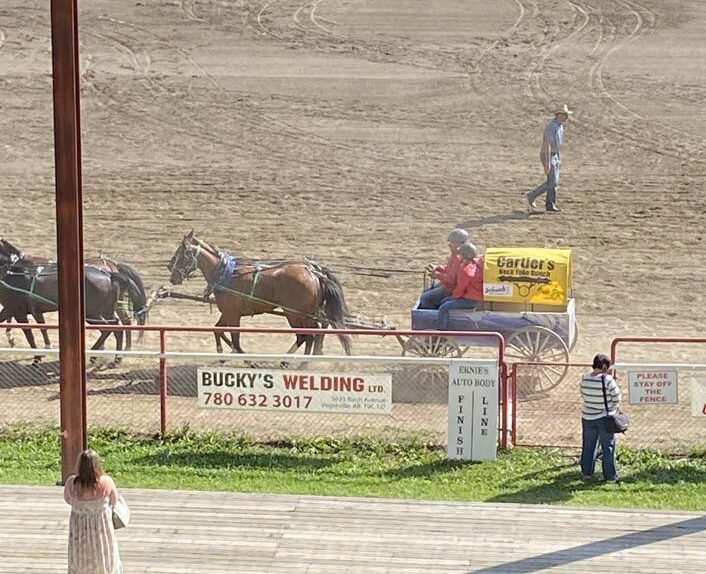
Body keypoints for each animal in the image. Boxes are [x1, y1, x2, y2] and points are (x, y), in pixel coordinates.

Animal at [166, 232, 352, 358]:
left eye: (181, 254)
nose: (172, 274)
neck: (225, 274)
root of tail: (314, 273)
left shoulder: (233, 314)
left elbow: (235, 339)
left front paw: (243, 357)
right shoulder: (228, 313)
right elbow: (218, 330)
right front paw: (223, 354)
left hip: (295, 313)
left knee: (310, 334)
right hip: (303, 313)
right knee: (311, 334)